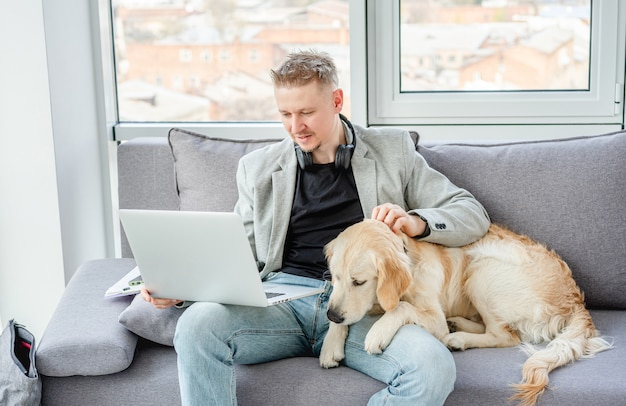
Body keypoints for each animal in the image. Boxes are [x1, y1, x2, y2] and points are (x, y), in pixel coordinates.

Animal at [320, 220, 612, 404]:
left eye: (359, 282)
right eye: (334, 276)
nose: (334, 316)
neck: (409, 256)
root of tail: (576, 300)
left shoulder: (432, 316)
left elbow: (401, 306)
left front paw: (377, 332)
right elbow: (335, 303)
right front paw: (331, 344)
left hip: (482, 269)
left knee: (506, 336)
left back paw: (457, 338)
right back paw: (458, 326)